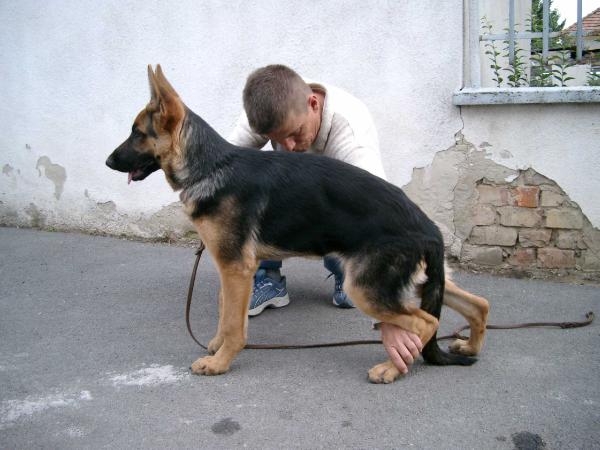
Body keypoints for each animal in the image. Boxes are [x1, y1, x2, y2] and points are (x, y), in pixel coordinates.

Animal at [106, 65, 489, 383]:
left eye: (136, 132)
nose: (108, 162)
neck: (210, 166)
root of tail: (427, 226)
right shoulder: (232, 269)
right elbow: (224, 310)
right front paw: (215, 346)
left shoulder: (235, 268)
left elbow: (233, 324)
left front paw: (220, 362)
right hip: (419, 281)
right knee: (478, 304)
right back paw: (470, 347)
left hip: (366, 288)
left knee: (427, 321)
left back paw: (392, 368)